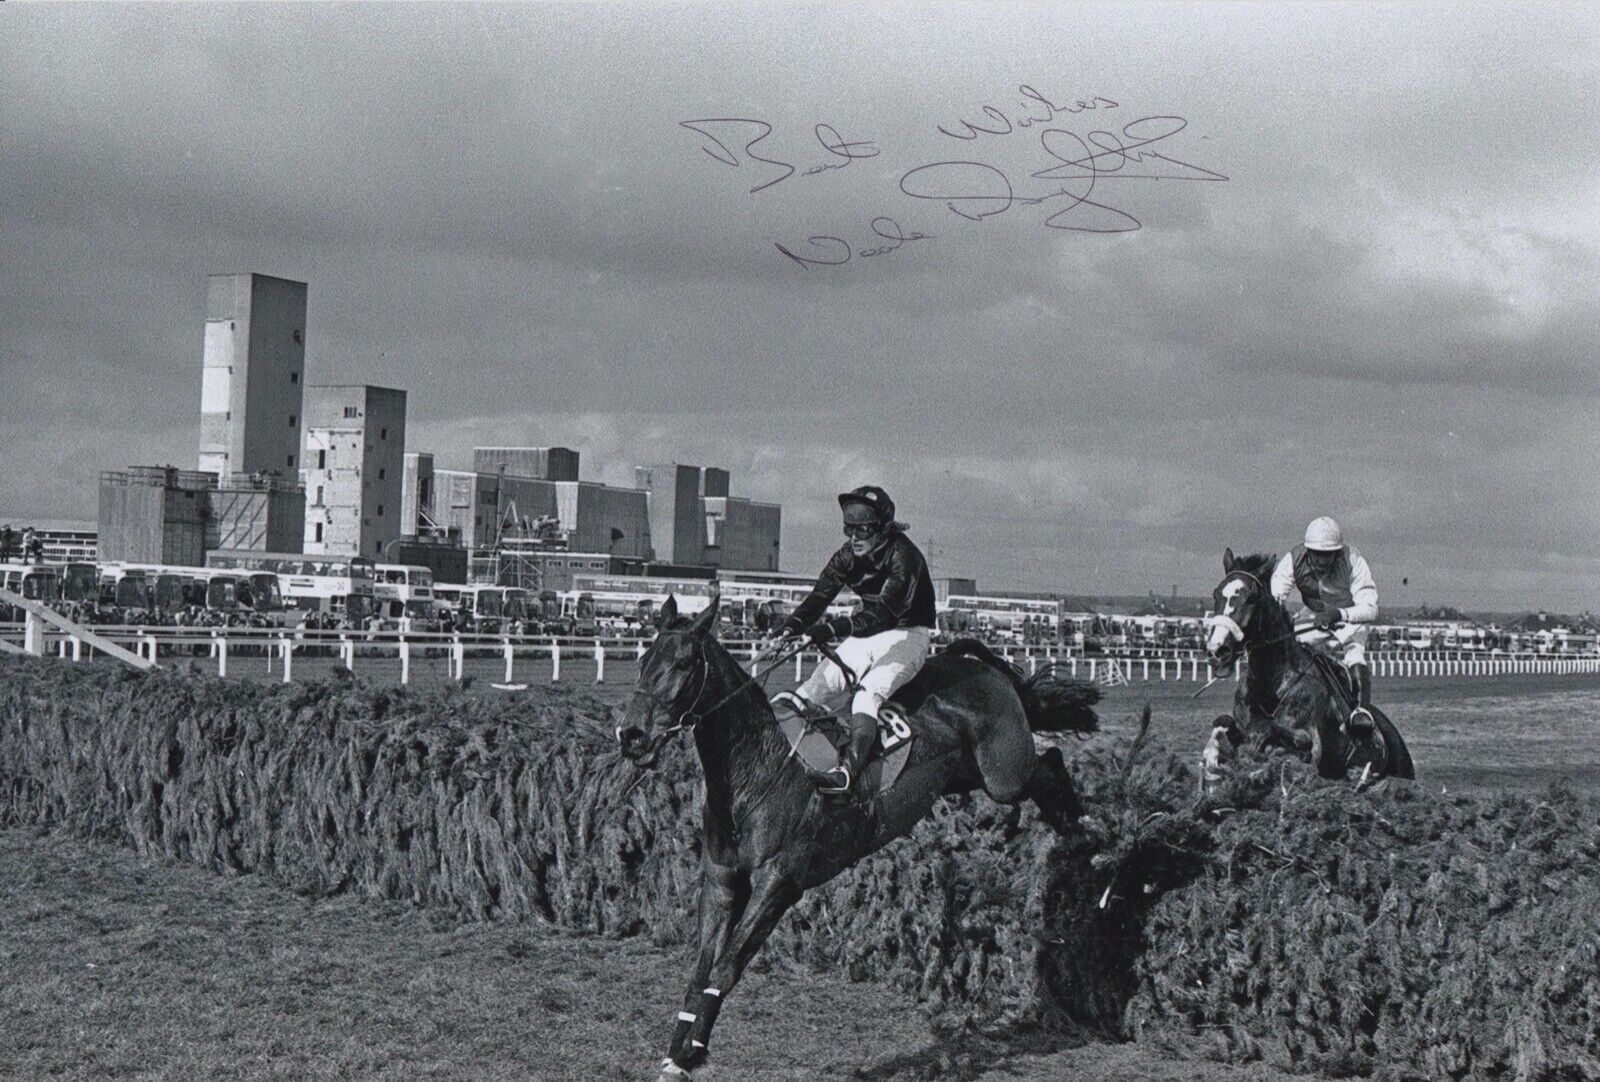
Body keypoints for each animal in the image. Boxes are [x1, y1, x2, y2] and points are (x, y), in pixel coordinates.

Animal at [614, 595, 1100, 1075]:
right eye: (643, 660)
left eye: (684, 663)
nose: (631, 735)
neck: (755, 768)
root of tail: (975, 664)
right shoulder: (721, 881)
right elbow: (701, 969)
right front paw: (679, 1051)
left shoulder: (779, 882)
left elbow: (726, 967)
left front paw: (690, 1050)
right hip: (965, 775)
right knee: (1047, 769)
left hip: (1003, 775)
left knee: (1049, 763)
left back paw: (1087, 841)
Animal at [1203, 553, 1414, 790]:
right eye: (1216, 593)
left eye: (1251, 598)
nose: (1218, 650)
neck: (1271, 688)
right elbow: (1224, 725)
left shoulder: (1312, 743)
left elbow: (1284, 736)